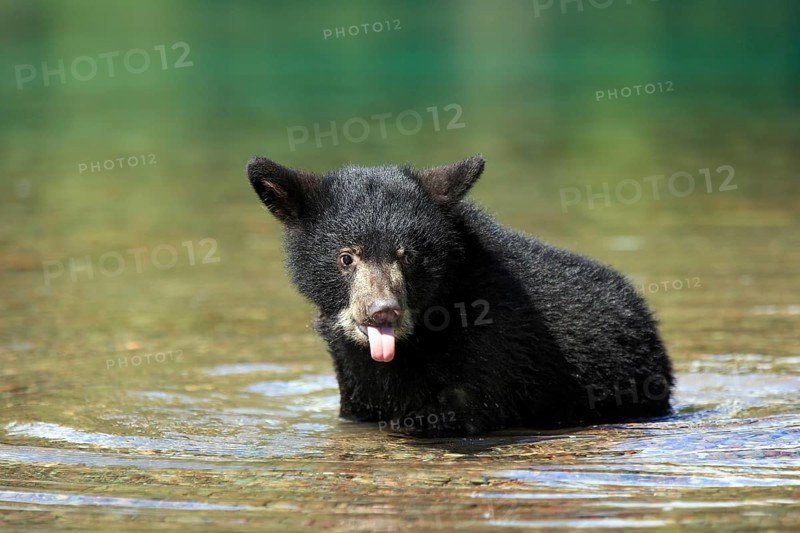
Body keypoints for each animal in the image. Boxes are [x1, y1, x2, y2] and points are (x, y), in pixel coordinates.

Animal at [247, 155, 674, 437]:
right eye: (346, 257)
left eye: (409, 255)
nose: (383, 312)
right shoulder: (352, 367)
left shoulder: (495, 339)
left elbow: (465, 410)